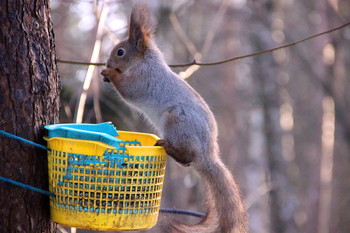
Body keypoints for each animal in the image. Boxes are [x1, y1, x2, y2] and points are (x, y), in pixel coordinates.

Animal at [101, 4, 249, 233]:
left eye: (120, 51)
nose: (108, 62)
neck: (145, 63)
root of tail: (208, 154)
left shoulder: (143, 80)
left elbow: (127, 89)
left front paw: (109, 73)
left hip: (176, 120)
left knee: (188, 157)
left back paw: (168, 146)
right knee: (187, 163)